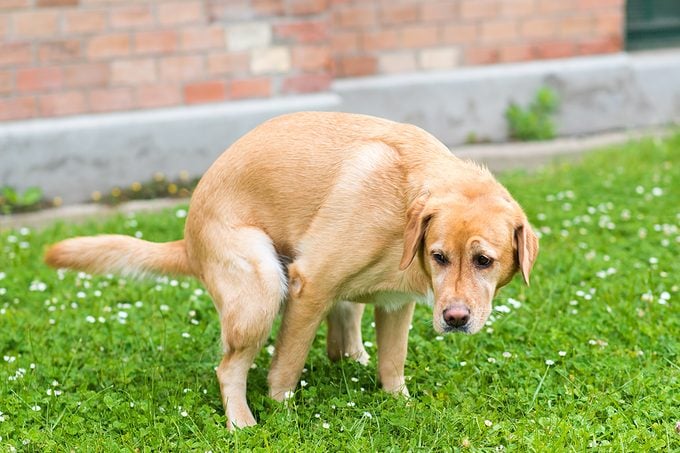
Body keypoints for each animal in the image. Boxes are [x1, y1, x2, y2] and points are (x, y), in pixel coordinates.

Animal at [45, 112, 538, 429]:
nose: (454, 319)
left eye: (483, 260)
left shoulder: (396, 305)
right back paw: (242, 422)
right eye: (439, 257)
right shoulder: (310, 285)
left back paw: (352, 359)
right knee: (229, 369)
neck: (405, 205)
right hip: (261, 288)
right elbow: (285, 367)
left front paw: (399, 402)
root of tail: (188, 240)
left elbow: (393, 364)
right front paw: (281, 410)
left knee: (343, 338)